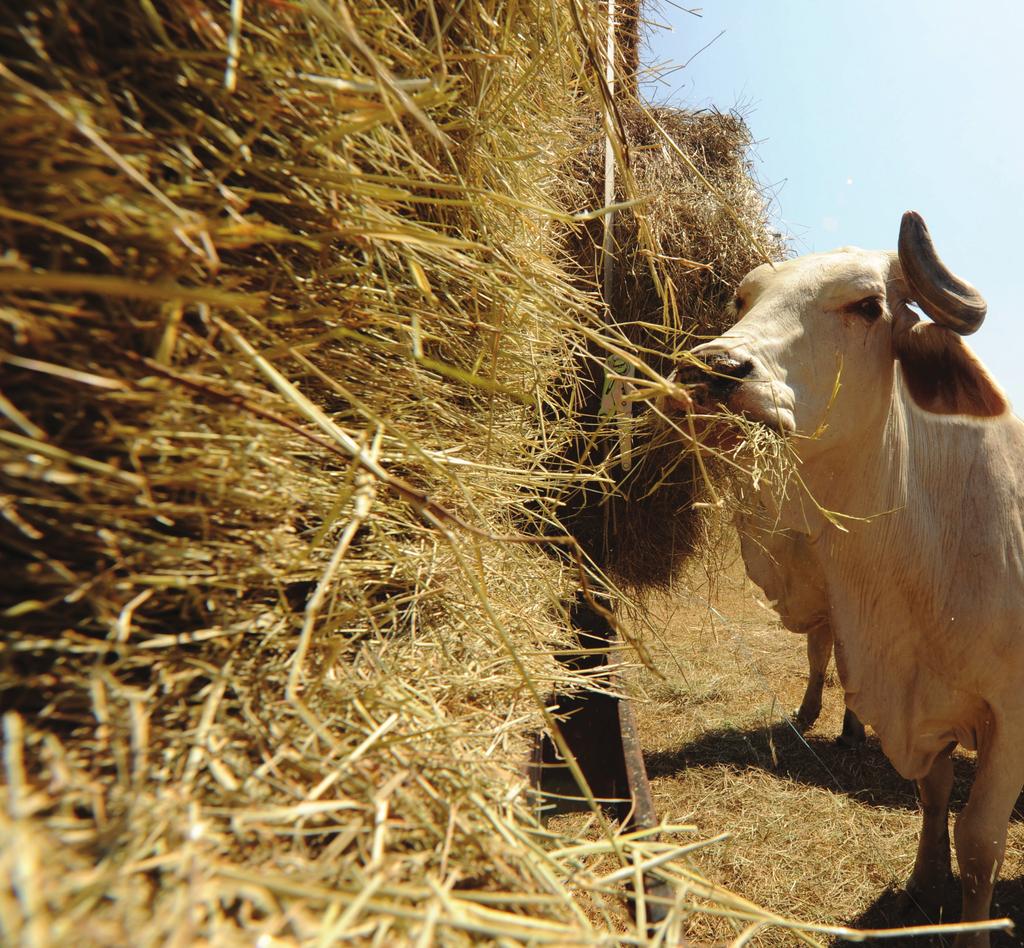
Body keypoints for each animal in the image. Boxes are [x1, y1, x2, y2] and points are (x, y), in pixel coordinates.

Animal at [688, 211, 1015, 945]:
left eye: (867, 306)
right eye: (744, 299)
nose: (715, 368)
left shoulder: (1014, 717)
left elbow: (980, 839)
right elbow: (933, 794)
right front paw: (923, 881)